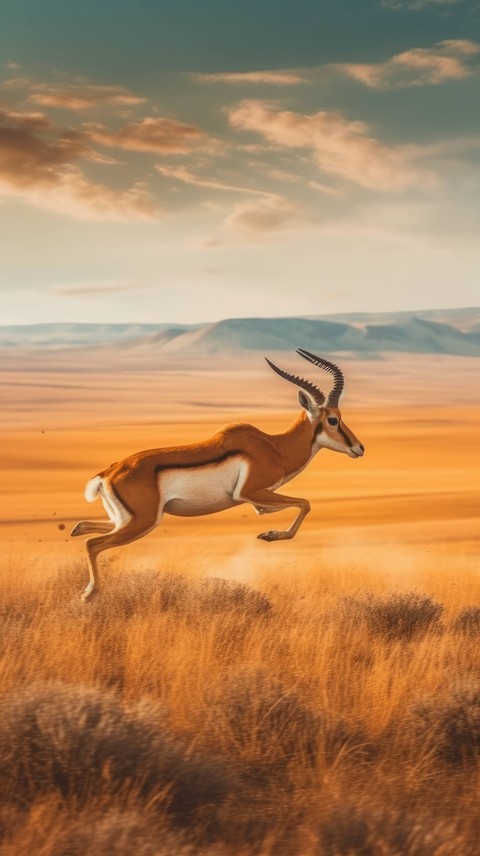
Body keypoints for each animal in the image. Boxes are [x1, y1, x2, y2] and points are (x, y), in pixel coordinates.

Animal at [71, 350, 364, 599]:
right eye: (333, 420)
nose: (359, 448)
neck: (274, 447)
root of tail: (109, 472)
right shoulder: (251, 493)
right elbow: (306, 503)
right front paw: (269, 535)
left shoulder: (259, 502)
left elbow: (294, 506)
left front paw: (269, 533)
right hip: (142, 523)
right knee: (92, 544)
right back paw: (89, 594)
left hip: (136, 520)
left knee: (86, 528)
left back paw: (76, 531)